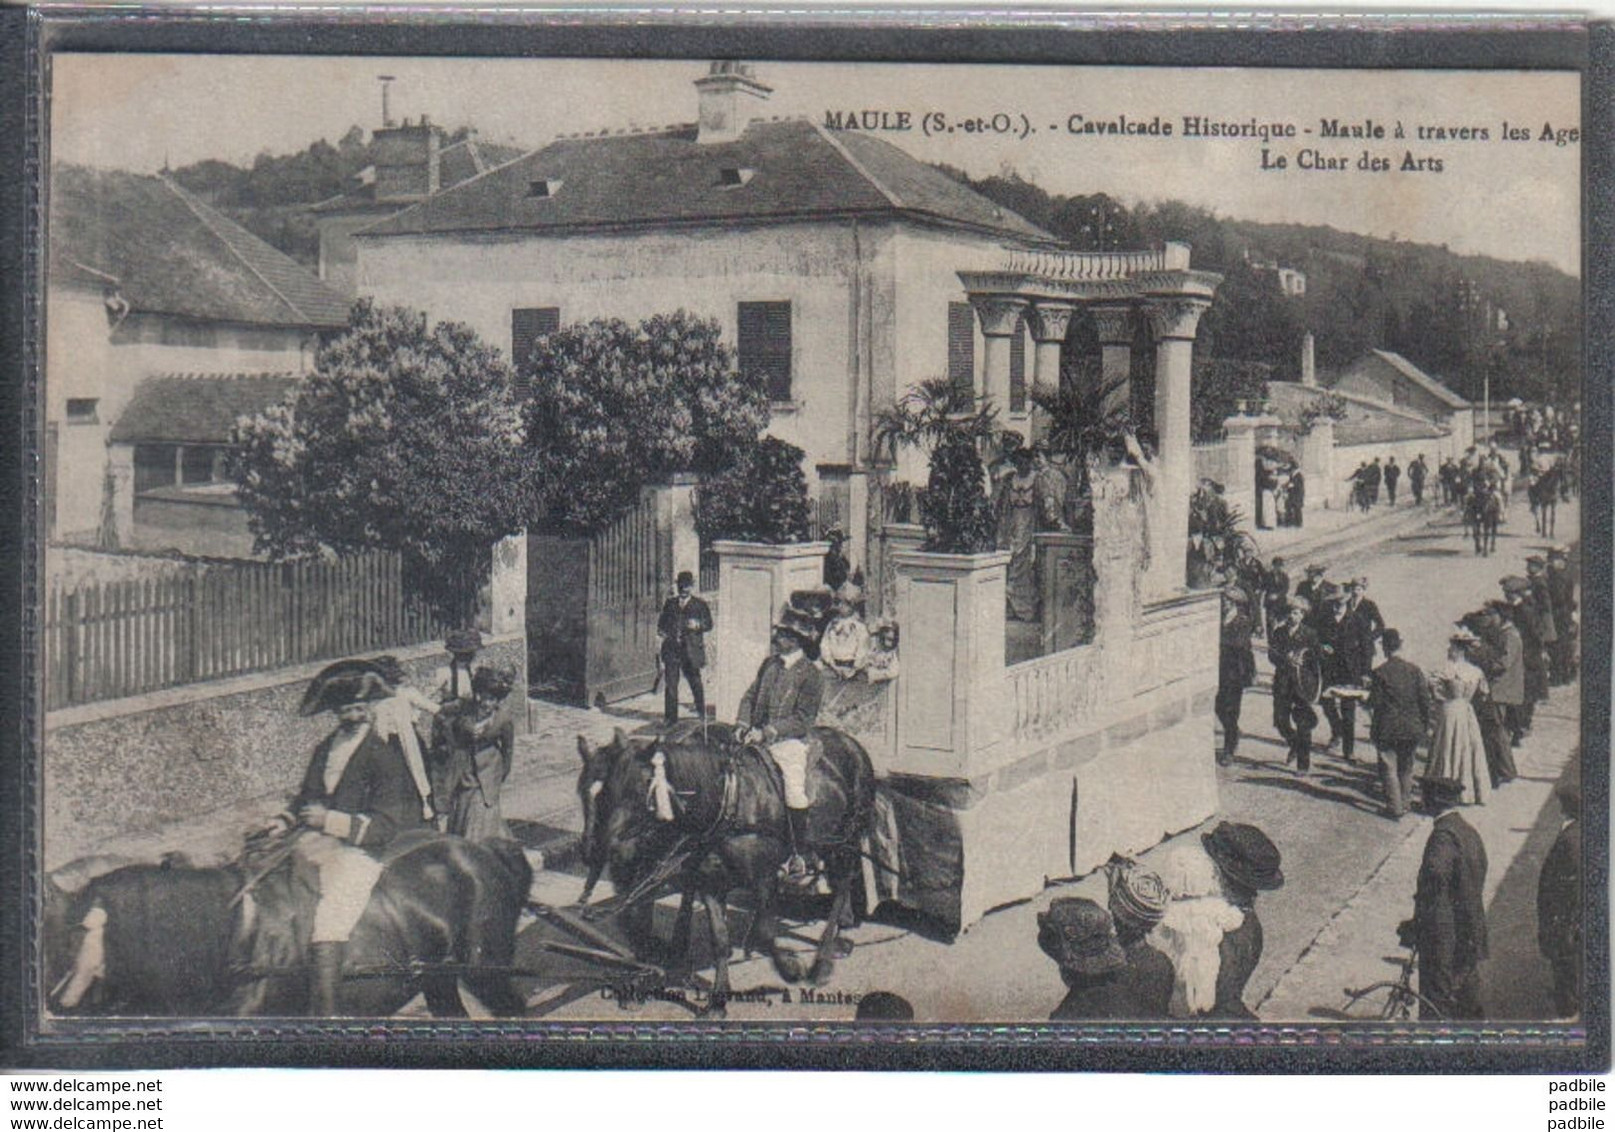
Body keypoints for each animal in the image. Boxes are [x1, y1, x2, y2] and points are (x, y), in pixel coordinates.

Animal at [578, 723, 878, 1014]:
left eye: (637, 790)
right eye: (585, 792)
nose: (596, 850)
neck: (727, 802)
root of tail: (851, 742)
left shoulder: (764, 878)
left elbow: (764, 933)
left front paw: (791, 968)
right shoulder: (710, 881)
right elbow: (719, 939)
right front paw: (717, 999)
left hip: (845, 840)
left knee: (843, 886)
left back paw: (826, 954)